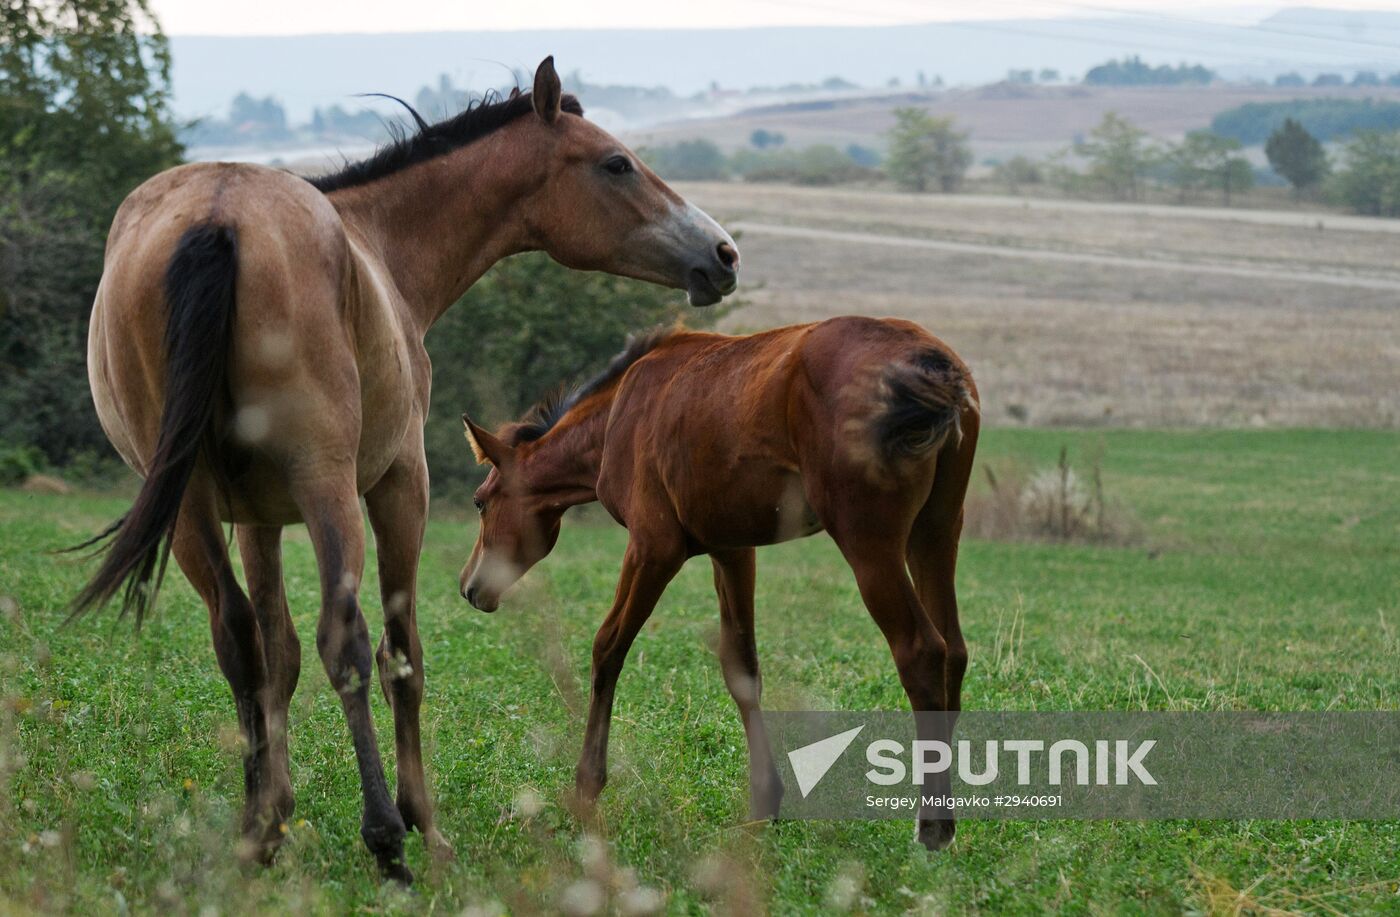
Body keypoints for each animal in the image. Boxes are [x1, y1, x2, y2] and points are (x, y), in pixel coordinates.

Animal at [71, 57, 739, 884]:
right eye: (616, 163)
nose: (722, 254)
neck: (377, 246)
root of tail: (217, 218)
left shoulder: (255, 517)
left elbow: (276, 656)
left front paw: (274, 815)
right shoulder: (399, 485)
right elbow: (401, 654)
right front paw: (423, 824)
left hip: (193, 504)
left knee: (237, 639)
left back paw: (258, 833)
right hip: (328, 487)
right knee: (347, 643)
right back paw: (385, 837)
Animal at [459, 319, 974, 851]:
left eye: (480, 501)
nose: (470, 586)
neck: (620, 411)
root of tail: (932, 364)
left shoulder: (653, 548)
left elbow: (608, 647)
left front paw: (586, 785)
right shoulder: (731, 550)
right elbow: (741, 668)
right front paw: (764, 800)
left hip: (869, 544)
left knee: (921, 651)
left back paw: (933, 826)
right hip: (935, 534)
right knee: (953, 652)